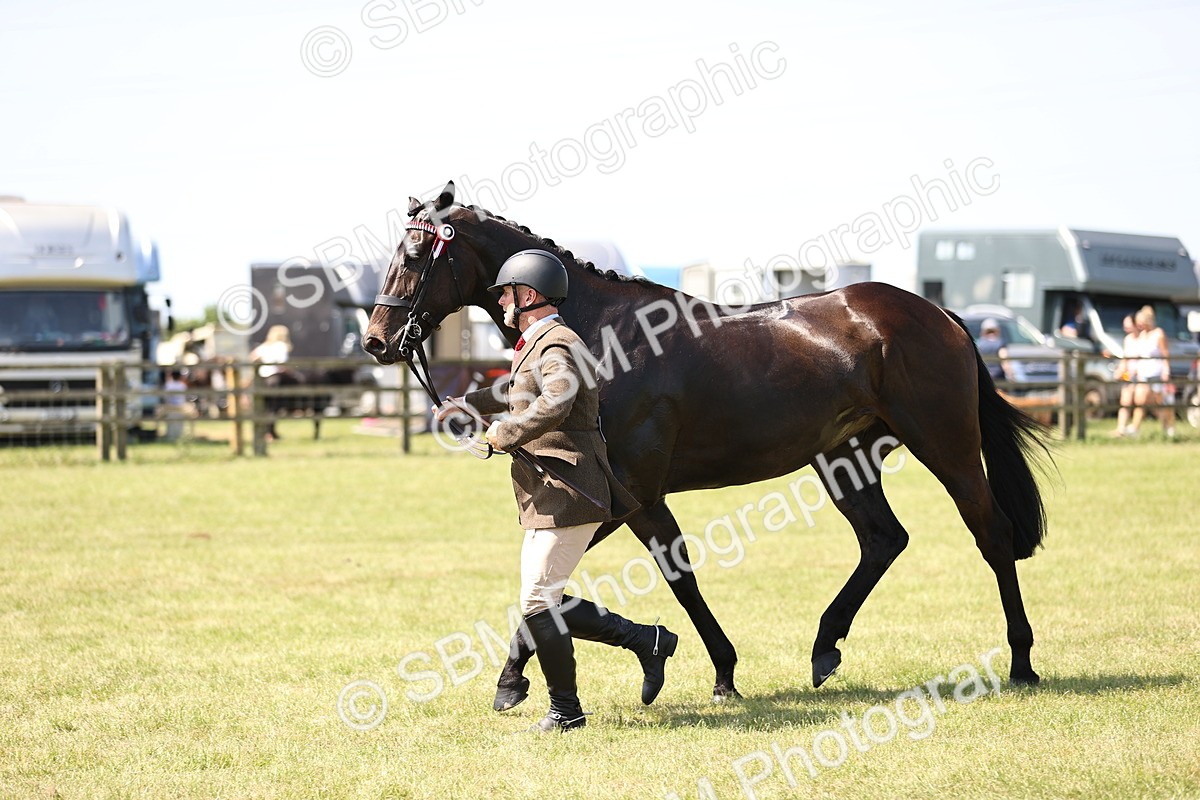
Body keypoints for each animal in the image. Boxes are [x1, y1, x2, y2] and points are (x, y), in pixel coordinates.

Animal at [363, 181, 1052, 706]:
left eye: (416, 254)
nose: (377, 339)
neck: (607, 335)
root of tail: (940, 315)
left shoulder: (633, 494)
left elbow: (671, 574)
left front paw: (716, 671)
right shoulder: (615, 498)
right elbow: (564, 591)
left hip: (946, 445)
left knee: (990, 534)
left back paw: (1021, 663)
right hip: (842, 459)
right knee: (884, 539)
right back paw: (824, 647)